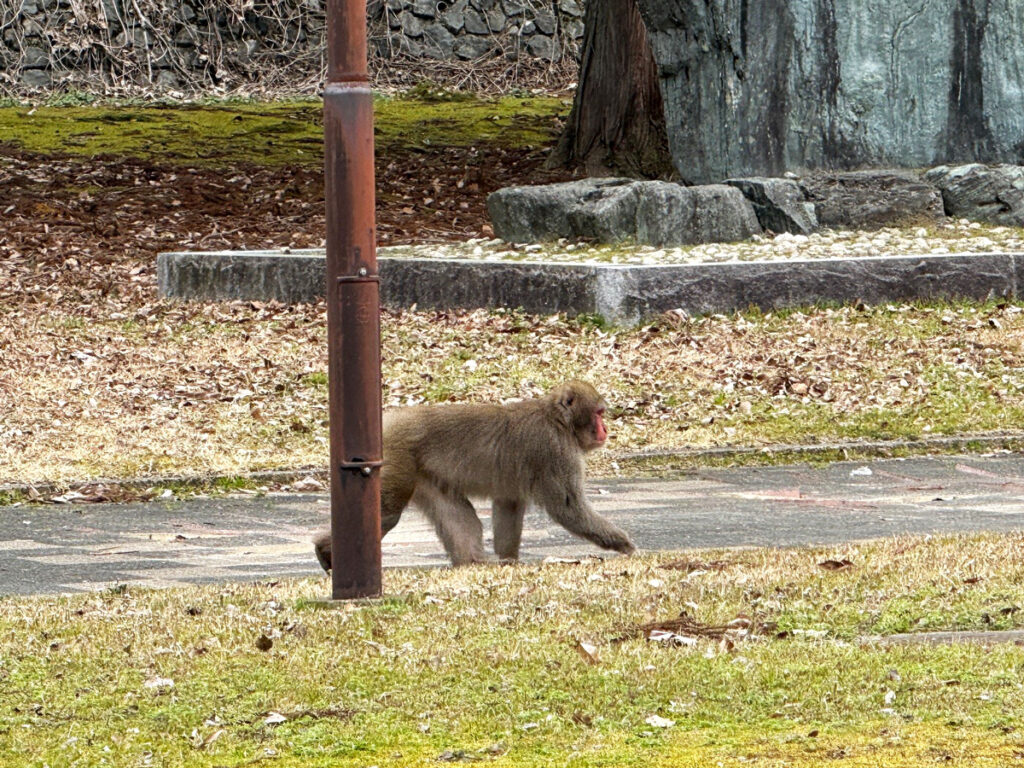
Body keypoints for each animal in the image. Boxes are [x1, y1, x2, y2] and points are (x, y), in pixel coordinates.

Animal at [313, 380, 635, 571]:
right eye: (599, 413)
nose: (605, 429)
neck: (557, 420)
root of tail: (390, 420)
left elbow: (508, 505)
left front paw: (509, 561)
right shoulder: (556, 452)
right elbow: (568, 508)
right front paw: (624, 545)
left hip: (423, 474)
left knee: (458, 515)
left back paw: (473, 562)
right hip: (398, 458)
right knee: (388, 514)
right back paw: (324, 549)